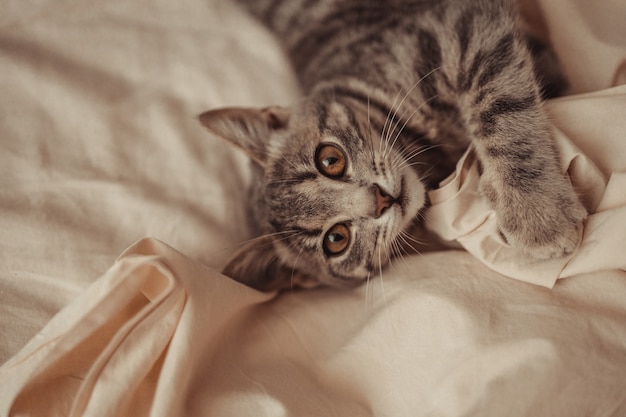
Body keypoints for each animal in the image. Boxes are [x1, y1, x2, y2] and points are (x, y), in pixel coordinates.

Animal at [200, 0, 584, 290]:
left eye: (330, 159)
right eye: (336, 240)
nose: (380, 199)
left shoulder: (459, 27)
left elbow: (499, 101)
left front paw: (536, 211)